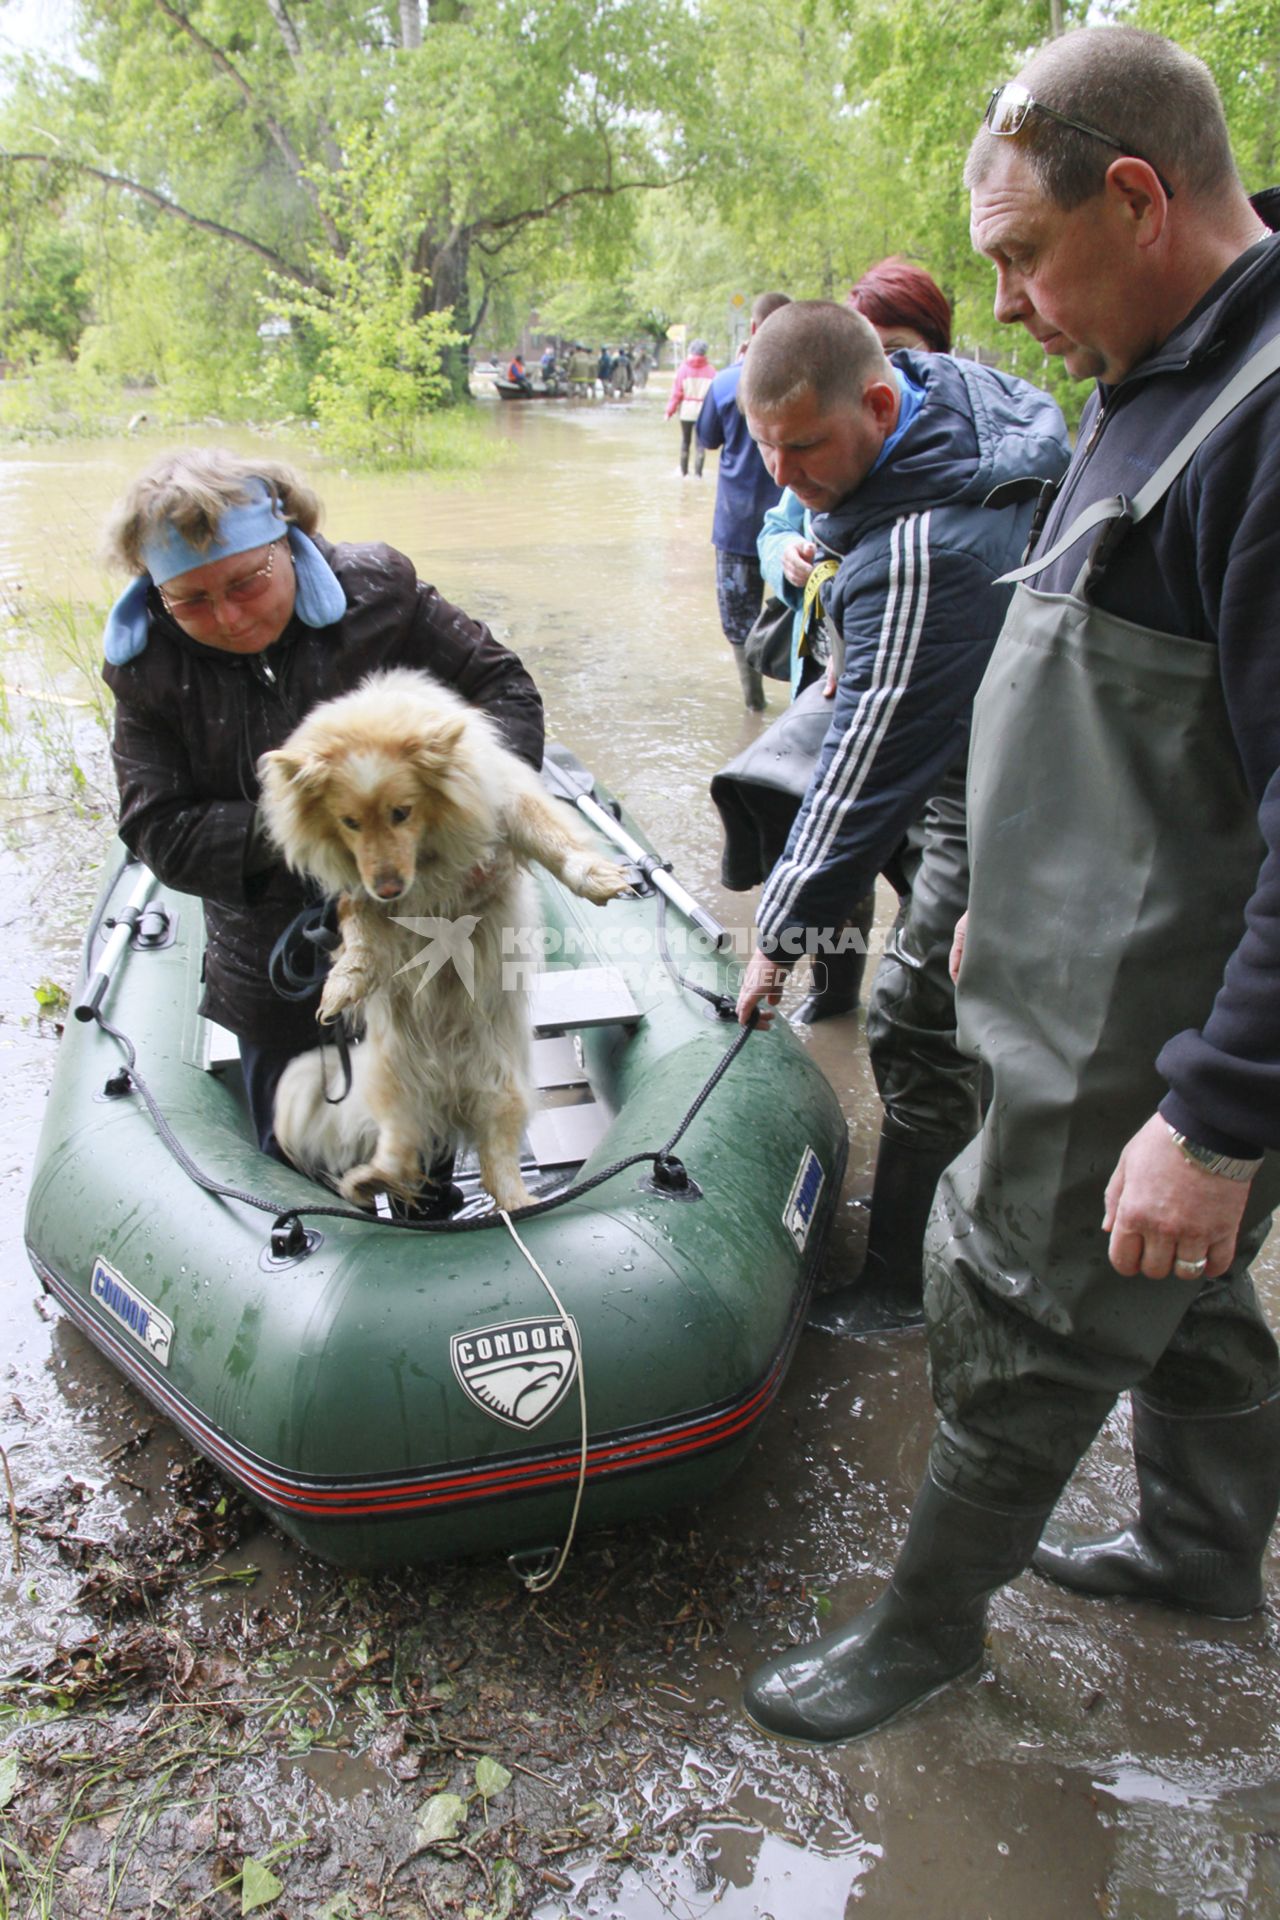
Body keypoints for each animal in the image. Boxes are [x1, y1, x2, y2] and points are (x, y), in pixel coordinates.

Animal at [257, 668, 629, 1205]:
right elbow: (360, 931)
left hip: (501, 1090)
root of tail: (448, 1091)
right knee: (399, 1150)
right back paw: (367, 1181)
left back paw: (517, 1201)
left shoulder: (508, 807)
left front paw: (597, 878)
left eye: (402, 812)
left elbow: (551, 839)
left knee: (497, 1161)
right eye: (349, 822)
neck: (429, 857)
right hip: (393, 1085)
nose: (390, 886)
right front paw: (344, 984)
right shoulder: (358, 892)